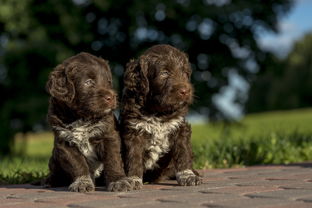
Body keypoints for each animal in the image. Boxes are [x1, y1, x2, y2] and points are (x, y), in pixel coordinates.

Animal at [45, 52, 136, 193]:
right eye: (88, 82)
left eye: (108, 81)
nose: (111, 97)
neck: (81, 117)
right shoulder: (64, 142)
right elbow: (77, 164)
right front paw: (82, 182)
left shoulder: (109, 135)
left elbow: (113, 160)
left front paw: (119, 181)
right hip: (55, 156)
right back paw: (50, 181)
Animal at [119, 44, 202, 188]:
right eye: (164, 73)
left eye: (185, 73)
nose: (185, 91)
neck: (158, 112)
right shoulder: (133, 131)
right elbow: (133, 157)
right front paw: (134, 178)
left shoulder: (180, 127)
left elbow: (183, 153)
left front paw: (188, 176)